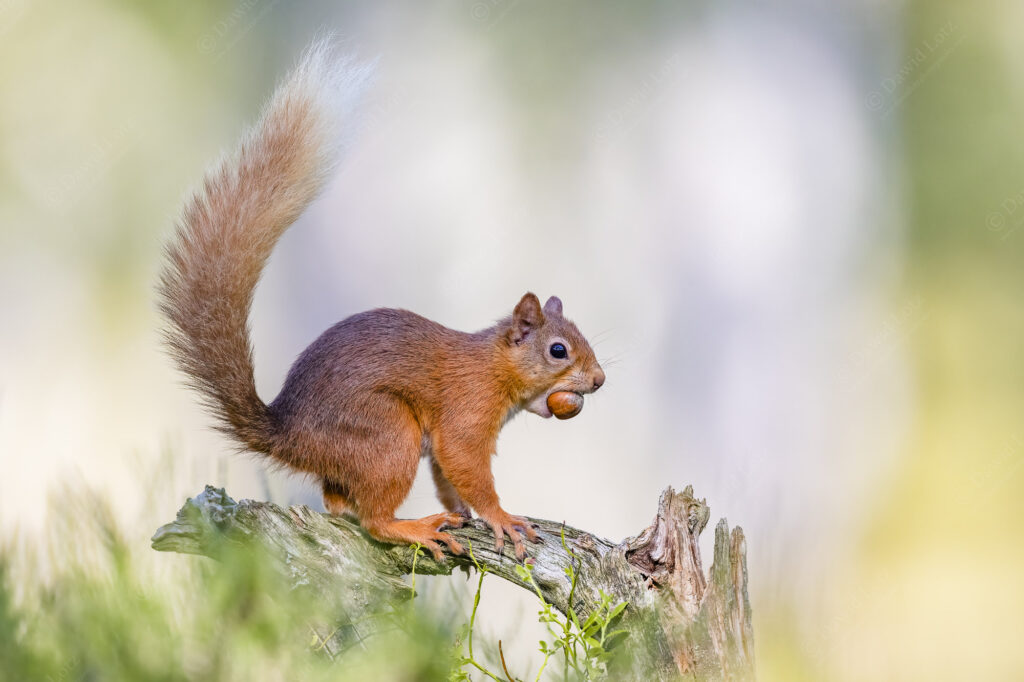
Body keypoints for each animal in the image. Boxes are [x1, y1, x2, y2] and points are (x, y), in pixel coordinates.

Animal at [156, 43, 602, 561]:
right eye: (558, 350)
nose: (599, 379)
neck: (494, 366)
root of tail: (291, 436)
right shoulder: (466, 411)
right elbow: (464, 464)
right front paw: (501, 518)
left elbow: (447, 478)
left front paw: (464, 511)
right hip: (388, 433)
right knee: (373, 521)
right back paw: (415, 527)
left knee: (338, 503)